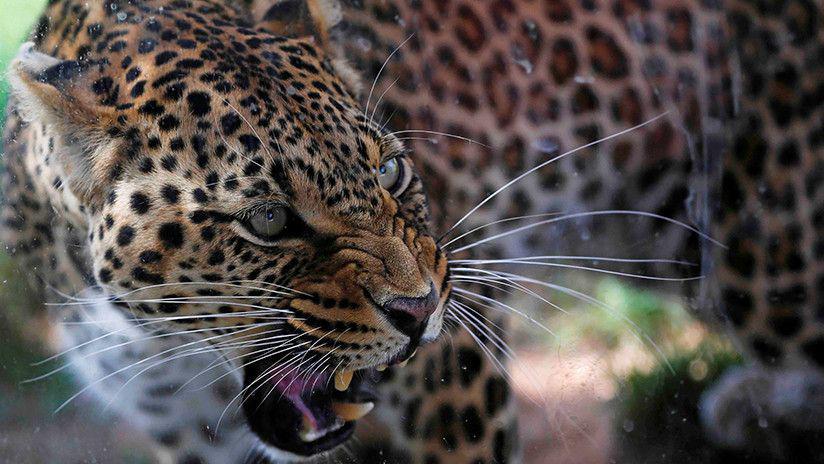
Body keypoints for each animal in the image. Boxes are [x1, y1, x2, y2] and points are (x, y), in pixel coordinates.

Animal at [1, 1, 822, 464]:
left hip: (764, 266)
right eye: (268, 219)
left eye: (392, 172)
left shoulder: (455, 384)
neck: (162, 348)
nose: (421, 308)